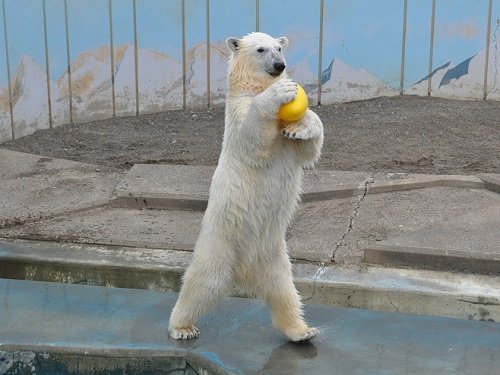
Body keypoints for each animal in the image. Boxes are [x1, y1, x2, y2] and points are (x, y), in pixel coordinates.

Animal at [168, 33, 324, 344]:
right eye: (261, 50)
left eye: (279, 47)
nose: (279, 65)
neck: (254, 87)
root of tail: (244, 274)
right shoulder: (238, 113)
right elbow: (252, 135)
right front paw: (279, 93)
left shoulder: (292, 148)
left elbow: (309, 148)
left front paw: (299, 126)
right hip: (220, 244)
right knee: (203, 283)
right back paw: (182, 327)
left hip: (273, 254)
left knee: (285, 291)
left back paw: (302, 331)